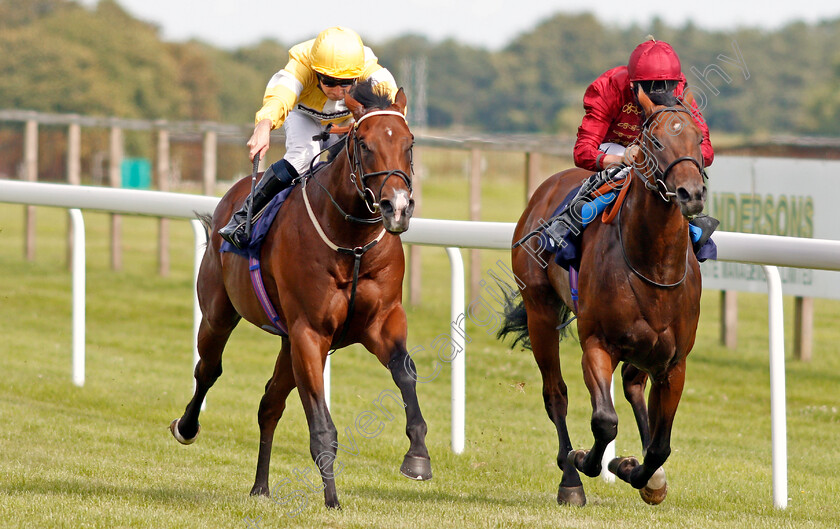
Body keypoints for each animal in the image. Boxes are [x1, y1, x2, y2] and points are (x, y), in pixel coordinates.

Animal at [171, 82, 434, 508]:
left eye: (409, 143)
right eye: (364, 143)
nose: (396, 207)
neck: (352, 242)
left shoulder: (381, 323)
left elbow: (405, 372)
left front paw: (417, 457)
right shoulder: (310, 333)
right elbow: (322, 428)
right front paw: (332, 499)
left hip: (286, 343)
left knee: (269, 404)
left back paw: (260, 486)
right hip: (219, 314)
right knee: (208, 369)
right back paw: (187, 426)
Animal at [498, 88, 708, 506]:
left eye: (698, 139)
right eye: (655, 141)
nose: (690, 194)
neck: (654, 265)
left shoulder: (674, 362)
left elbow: (660, 444)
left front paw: (644, 475)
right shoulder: (597, 343)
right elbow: (605, 421)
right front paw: (590, 461)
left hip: (646, 352)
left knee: (632, 385)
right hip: (540, 311)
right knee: (555, 394)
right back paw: (570, 480)